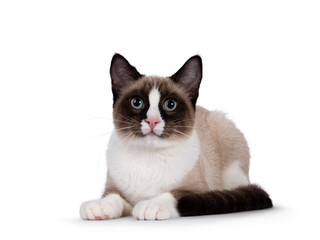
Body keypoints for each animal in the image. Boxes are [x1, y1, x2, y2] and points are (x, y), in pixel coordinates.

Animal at [79, 53, 272, 220]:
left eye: (170, 104)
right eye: (137, 103)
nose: (152, 121)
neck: (148, 158)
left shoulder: (196, 192)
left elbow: (173, 195)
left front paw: (150, 206)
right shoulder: (116, 190)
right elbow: (112, 197)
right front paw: (98, 206)